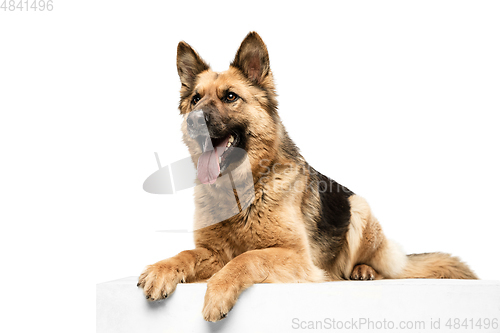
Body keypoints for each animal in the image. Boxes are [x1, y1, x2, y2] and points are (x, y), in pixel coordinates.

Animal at [139, 31, 478, 322]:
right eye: (196, 99)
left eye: (231, 97)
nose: (194, 120)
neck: (241, 190)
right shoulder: (212, 252)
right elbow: (185, 254)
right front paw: (161, 269)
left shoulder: (296, 256)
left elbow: (247, 258)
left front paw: (218, 292)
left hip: (358, 208)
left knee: (383, 267)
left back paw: (364, 271)